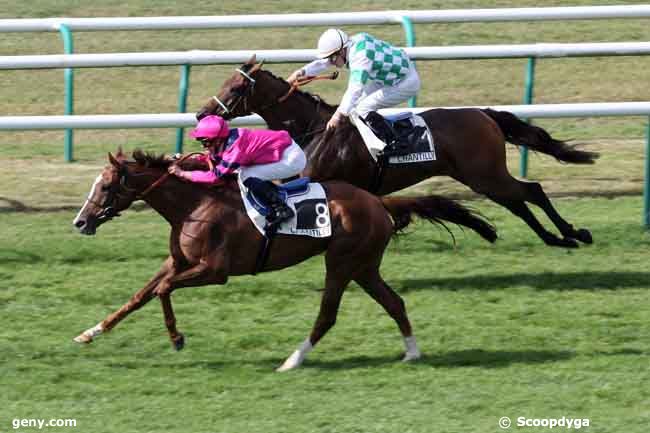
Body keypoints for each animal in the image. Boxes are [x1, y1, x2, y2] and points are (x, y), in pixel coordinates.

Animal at [72, 149, 496, 372]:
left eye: (106, 187)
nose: (80, 222)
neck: (193, 206)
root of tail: (378, 201)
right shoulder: (177, 262)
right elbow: (138, 297)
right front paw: (89, 333)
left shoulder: (214, 271)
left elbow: (161, 290)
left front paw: (177, 338)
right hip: (364, 266)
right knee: (395, 302)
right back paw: (411, 352)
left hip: (341, 262)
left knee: (328, 315)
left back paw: (292, 360)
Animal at [196, 55, 596, 248]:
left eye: (235, 88)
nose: (201, 113)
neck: (315, 128)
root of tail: (483, 114)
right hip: (482, 176)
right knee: (518, 202)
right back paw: (554, 238)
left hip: (485, 173)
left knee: (532, 192)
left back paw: (574, 233)